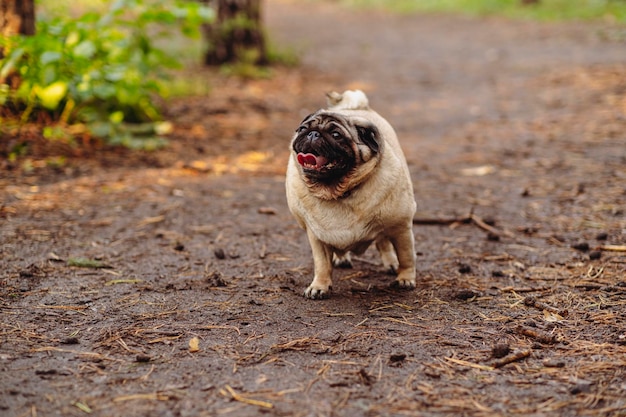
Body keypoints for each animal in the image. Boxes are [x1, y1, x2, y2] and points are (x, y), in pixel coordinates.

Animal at [286, 89, 414, 298]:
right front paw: (319, 286)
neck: (337, 191)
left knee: (383, 242)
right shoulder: (317, 236)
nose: (313, 133)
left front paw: (406, 278)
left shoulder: (401, 227)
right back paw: (342, 258)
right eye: (302, 128)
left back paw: (391, 263)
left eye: (336, 135)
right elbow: (322, 265)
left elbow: (406, 257)